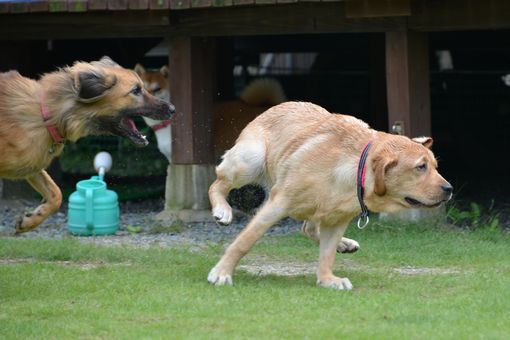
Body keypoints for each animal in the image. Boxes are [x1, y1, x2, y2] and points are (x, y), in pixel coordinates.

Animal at [207, 101, 450, 290]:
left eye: (435, 166)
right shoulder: (278, 203)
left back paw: (344, 244)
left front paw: (327, 279)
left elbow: (327, 253)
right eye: (420, 167)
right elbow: (245, 241)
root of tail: (275, 106)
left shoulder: (338, 219)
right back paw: (222, 210)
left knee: (308, 228)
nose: (449, 188)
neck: (353, 167)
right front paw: (222, 272)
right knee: (216, 184)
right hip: (250, 161)